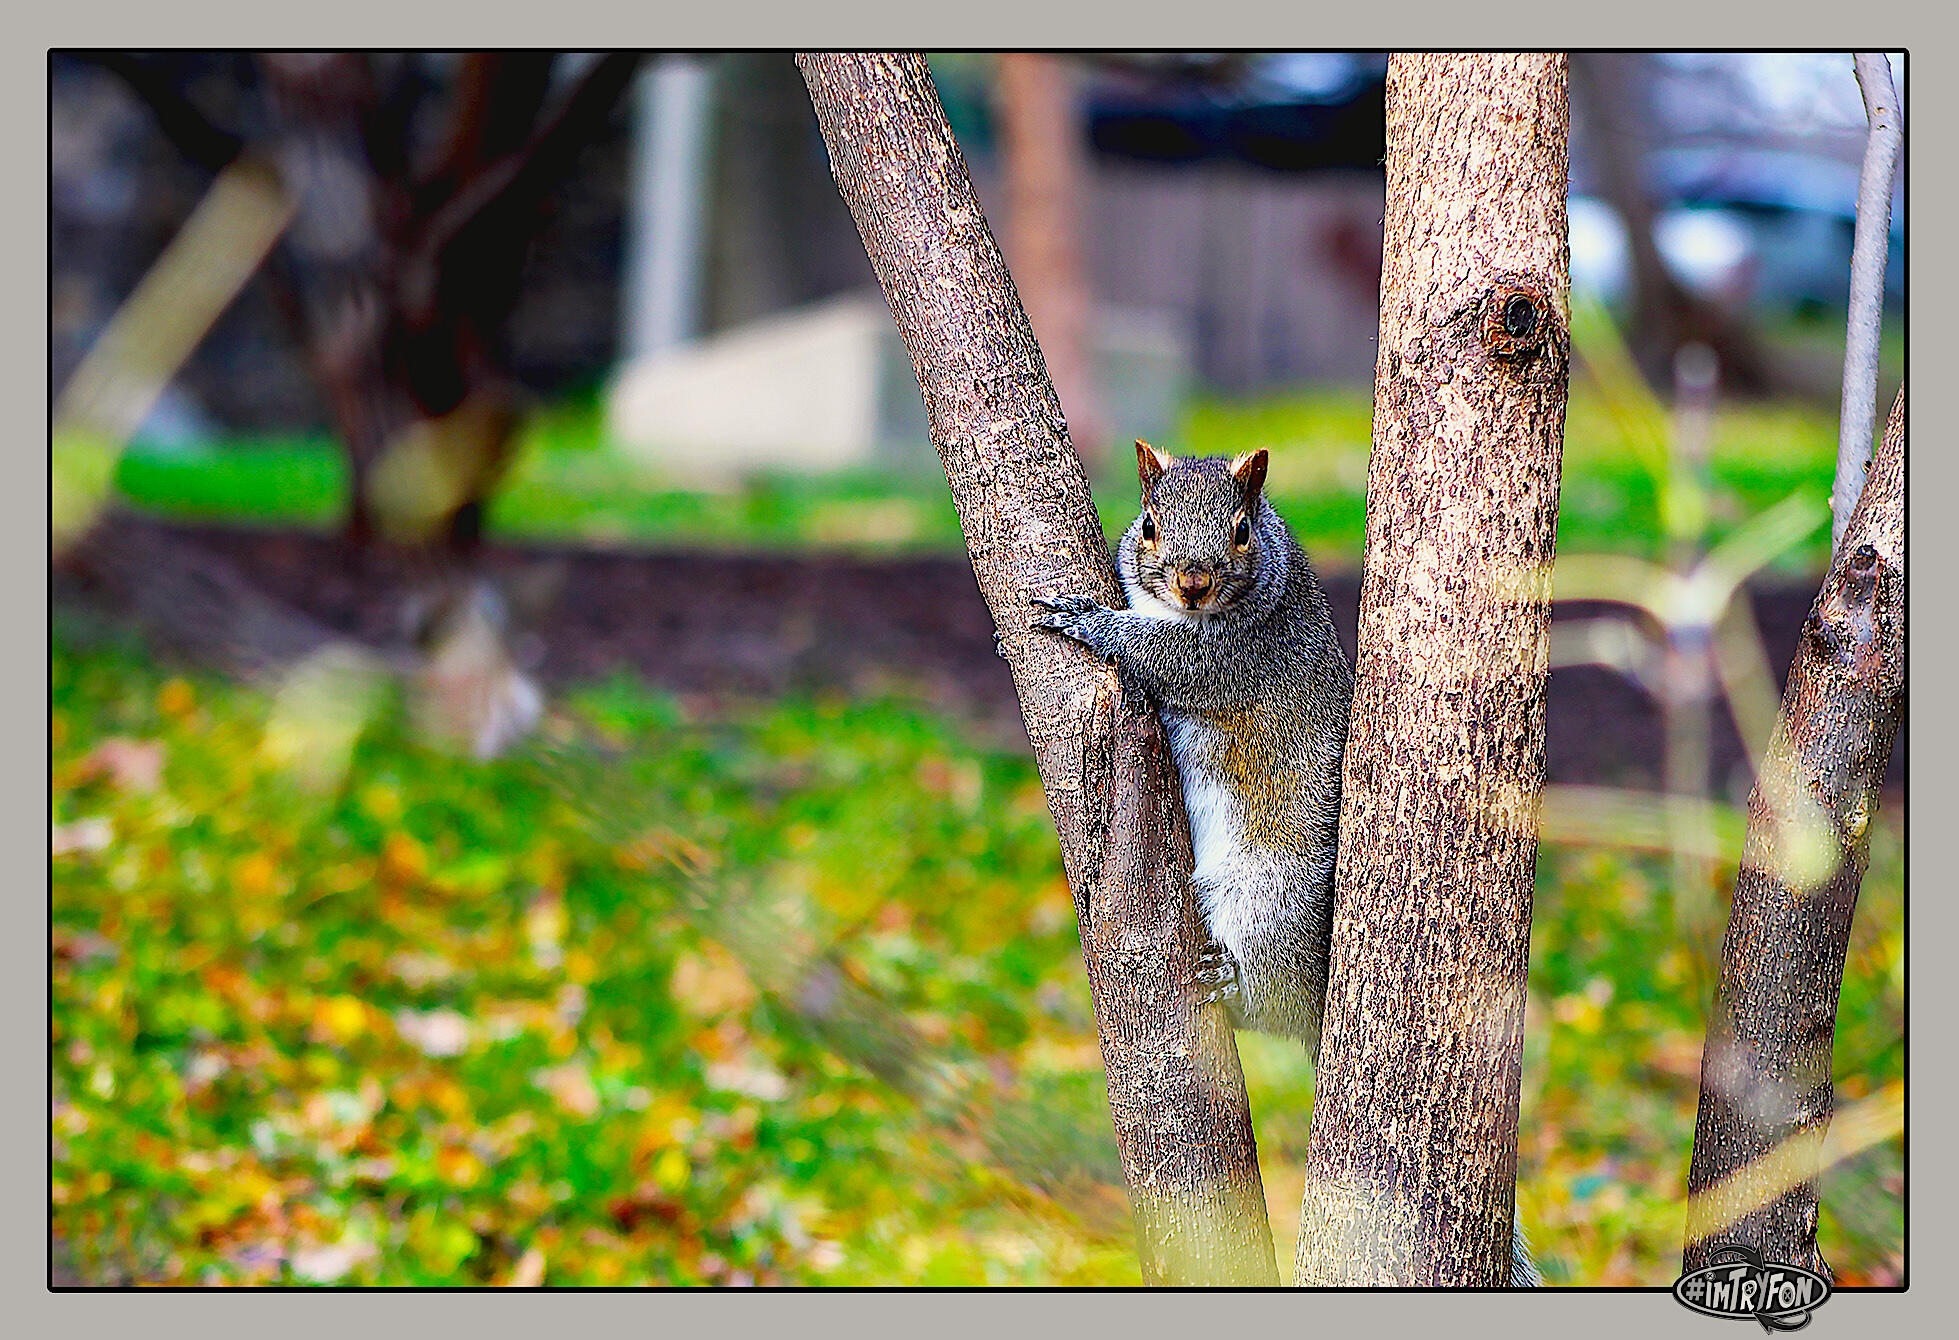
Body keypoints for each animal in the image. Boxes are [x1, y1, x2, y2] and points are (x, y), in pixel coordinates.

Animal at [1032, 441, 1540, 1287]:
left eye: (1240, 531)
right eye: (1148, 522)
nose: (1192, 581)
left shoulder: (1244, 652)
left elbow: (1171, 657)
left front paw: (1088, 620)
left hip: (1273, 901)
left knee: (1271, 996)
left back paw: (1232, 984)